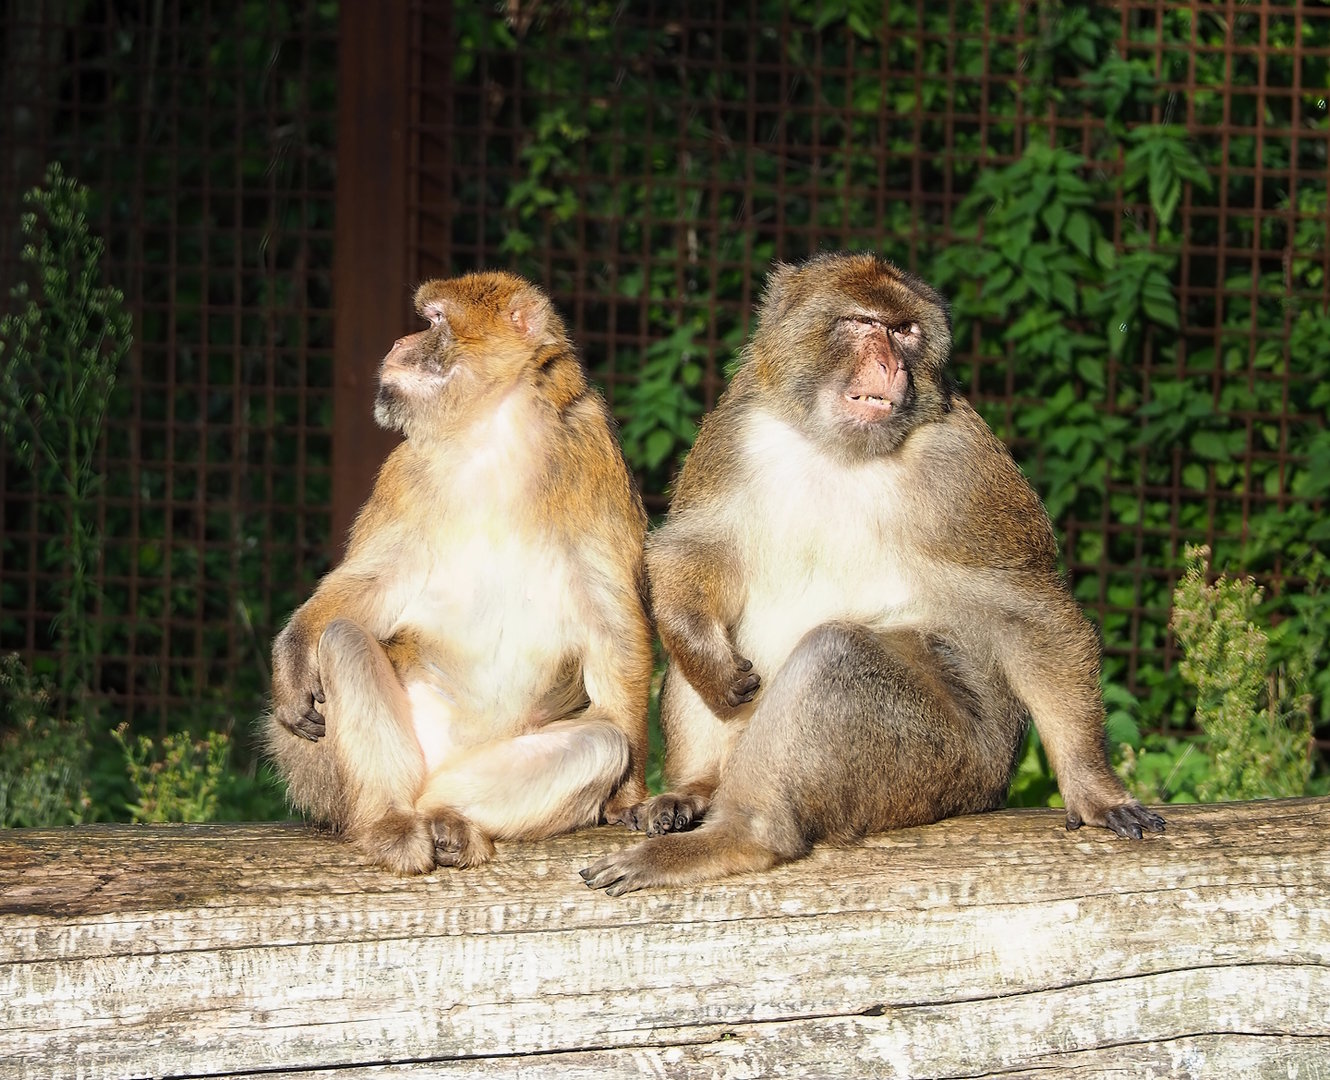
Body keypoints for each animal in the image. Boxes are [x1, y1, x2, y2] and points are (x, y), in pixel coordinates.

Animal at [265, 270, 651, 875]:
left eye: (435, 322)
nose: (398, 343)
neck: (492, 434)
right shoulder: (405, 473)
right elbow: (374, 584)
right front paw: (293, 654)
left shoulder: (593, 459)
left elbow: (614, 628)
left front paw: (631, 798)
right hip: (332, 764)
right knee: (346, 640)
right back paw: (391, 821)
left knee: (601, 744)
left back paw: (448, 818)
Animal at [582, 251, 1164, 896]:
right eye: (863, 323)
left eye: (906, 331)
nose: (891, 364)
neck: (840, 448)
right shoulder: (736, 428)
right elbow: (695, 550)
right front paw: (703, 649)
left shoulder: (965, 472)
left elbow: (1029, 614)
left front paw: (1093, 789)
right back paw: (696, 788)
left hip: (940, 769)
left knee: (836, 657)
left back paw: (740, 835)